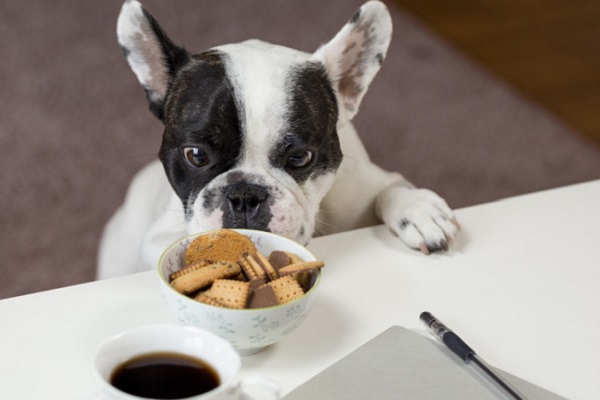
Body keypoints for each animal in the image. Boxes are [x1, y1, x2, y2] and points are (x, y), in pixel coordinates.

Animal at [97, 0, 460, 280]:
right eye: (196, 155)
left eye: (300, 158)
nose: (244, 195)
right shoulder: (159, 235)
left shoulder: (366, 185)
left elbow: (391, 187)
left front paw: (418, 210)